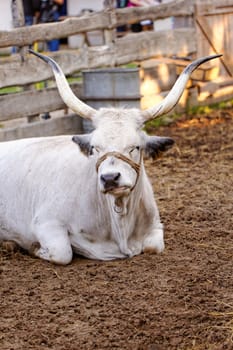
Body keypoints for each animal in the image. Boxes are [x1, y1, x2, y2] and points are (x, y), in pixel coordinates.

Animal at [0, 51, 220, 266]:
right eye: (95, 148)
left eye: (135, 147)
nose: (109, 178)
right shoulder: (46, 222)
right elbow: (63, 253)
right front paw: (32, 247)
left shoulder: (156, 227)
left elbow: (153, 247)